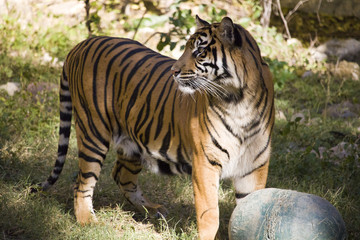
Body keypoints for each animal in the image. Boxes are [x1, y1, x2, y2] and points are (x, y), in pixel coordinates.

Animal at [39, 15, 274, 239]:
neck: (238, 101)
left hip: (133, 141)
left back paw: (152, 209)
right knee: (83, 183)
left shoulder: (254, 167)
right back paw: (87, 221)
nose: (174, 71)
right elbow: (209, 214)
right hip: (93, 132)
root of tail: (81, 44)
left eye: (199, 51)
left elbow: (249, 212)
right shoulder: (205, 163)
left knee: (121, 175)